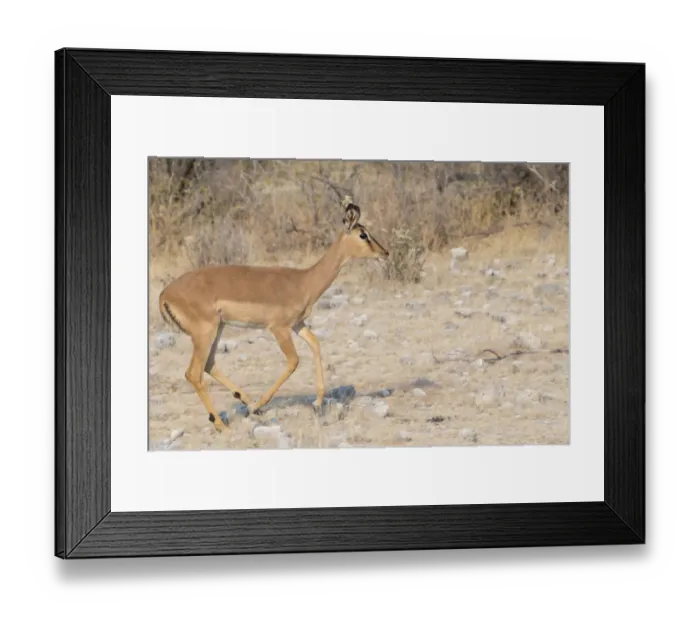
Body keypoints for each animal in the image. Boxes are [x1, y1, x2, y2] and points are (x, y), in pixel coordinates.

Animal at [158, 197, 390, 433]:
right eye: (363, 234)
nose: (385, 253)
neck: (304, 281)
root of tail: (165, 294)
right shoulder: (279, 328)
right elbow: (294, 361)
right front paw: (260, 405)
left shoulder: (297, 324)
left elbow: (315, 344)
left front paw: (317, 403)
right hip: (205, 332)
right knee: (193, 373)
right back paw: (225, 423)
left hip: (218, 328)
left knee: (208, 364)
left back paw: (243, 404)